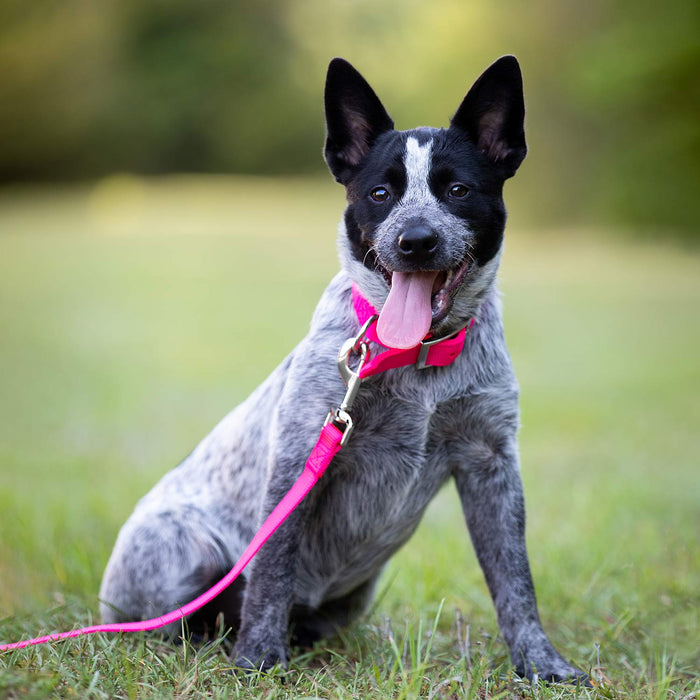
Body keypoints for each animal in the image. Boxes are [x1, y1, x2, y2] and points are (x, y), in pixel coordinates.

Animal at [101, 54, 588, 684]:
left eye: (457, 190)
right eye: (380, 193)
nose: (415, 240)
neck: (414, 359)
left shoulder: (491, 462)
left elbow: (515, 579)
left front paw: (540, 661)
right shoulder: (298, 458)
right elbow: (272, 572)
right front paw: (258, 659)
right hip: (186, 549)